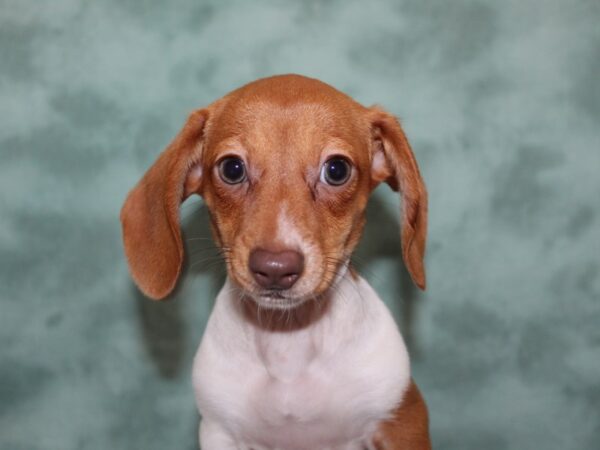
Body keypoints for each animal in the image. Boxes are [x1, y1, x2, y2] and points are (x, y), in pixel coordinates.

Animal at [120, 75, 432, 448]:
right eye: (232, 168)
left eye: (337, 169)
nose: (275, 269)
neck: (288, 343)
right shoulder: (219, 432)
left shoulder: (402, 421)